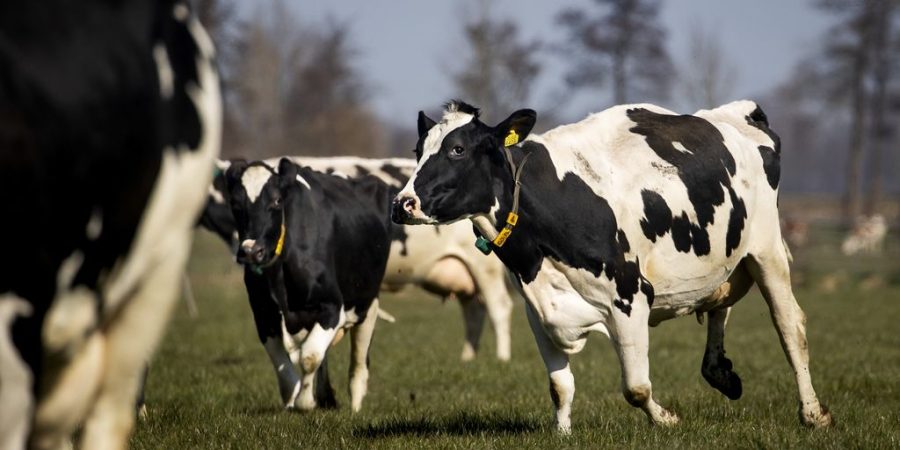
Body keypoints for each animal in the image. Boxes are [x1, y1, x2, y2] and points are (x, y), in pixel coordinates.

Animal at [201, 157, 515, 364]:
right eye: (236, 202)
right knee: (474, 310)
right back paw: (468, 358)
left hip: (485, 267)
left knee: (498, 307)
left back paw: (501, 358)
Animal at [223, 158, 392, 412]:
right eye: (235, 203)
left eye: (277, 200)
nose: (251, 251)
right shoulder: (263, 314)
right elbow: (283, 367)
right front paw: (293, 399)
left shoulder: (332, 306)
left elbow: (310, 356)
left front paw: (305, 401)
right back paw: (326, 398)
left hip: (367, 302)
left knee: (359, 360)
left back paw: (354, 404)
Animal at [392, 100, 833, 432]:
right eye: (417, 151)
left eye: (457, 150)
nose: (402, 203)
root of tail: (736, 112)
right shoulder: (539, 311)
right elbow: (560, 386)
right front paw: (563, 433)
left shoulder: (630, 296)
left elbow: (636, 387)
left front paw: (666, 419)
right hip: (725, 253)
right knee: (718, 302)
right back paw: (719, 371)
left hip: (766, 249)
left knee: (790, 326)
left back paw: (812, 412)